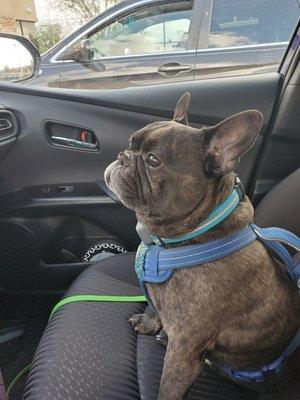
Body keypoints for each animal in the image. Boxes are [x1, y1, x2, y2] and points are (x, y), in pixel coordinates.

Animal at [103, 94, 300, 400]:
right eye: (130, 143)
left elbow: (168, 388)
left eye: (153, 160)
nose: (123, 156)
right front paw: (150, 323)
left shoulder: (184, 350)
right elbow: (156, 311)